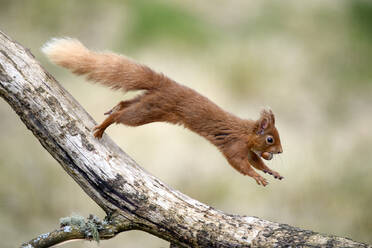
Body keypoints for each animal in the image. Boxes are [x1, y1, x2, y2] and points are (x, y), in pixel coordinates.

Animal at [42, 38, 284, 186]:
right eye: (270, 139)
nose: (280, 152)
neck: (246, 132)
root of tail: (165, 83)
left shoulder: (247, 149)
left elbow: (255, 160)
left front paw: (272, 172)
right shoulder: (234, 145)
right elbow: (240, 164)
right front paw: (257, 176)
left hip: (148, 104)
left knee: (125, 104)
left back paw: (113, 109)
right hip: (147, 112)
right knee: (122, 116)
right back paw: (103, 126)